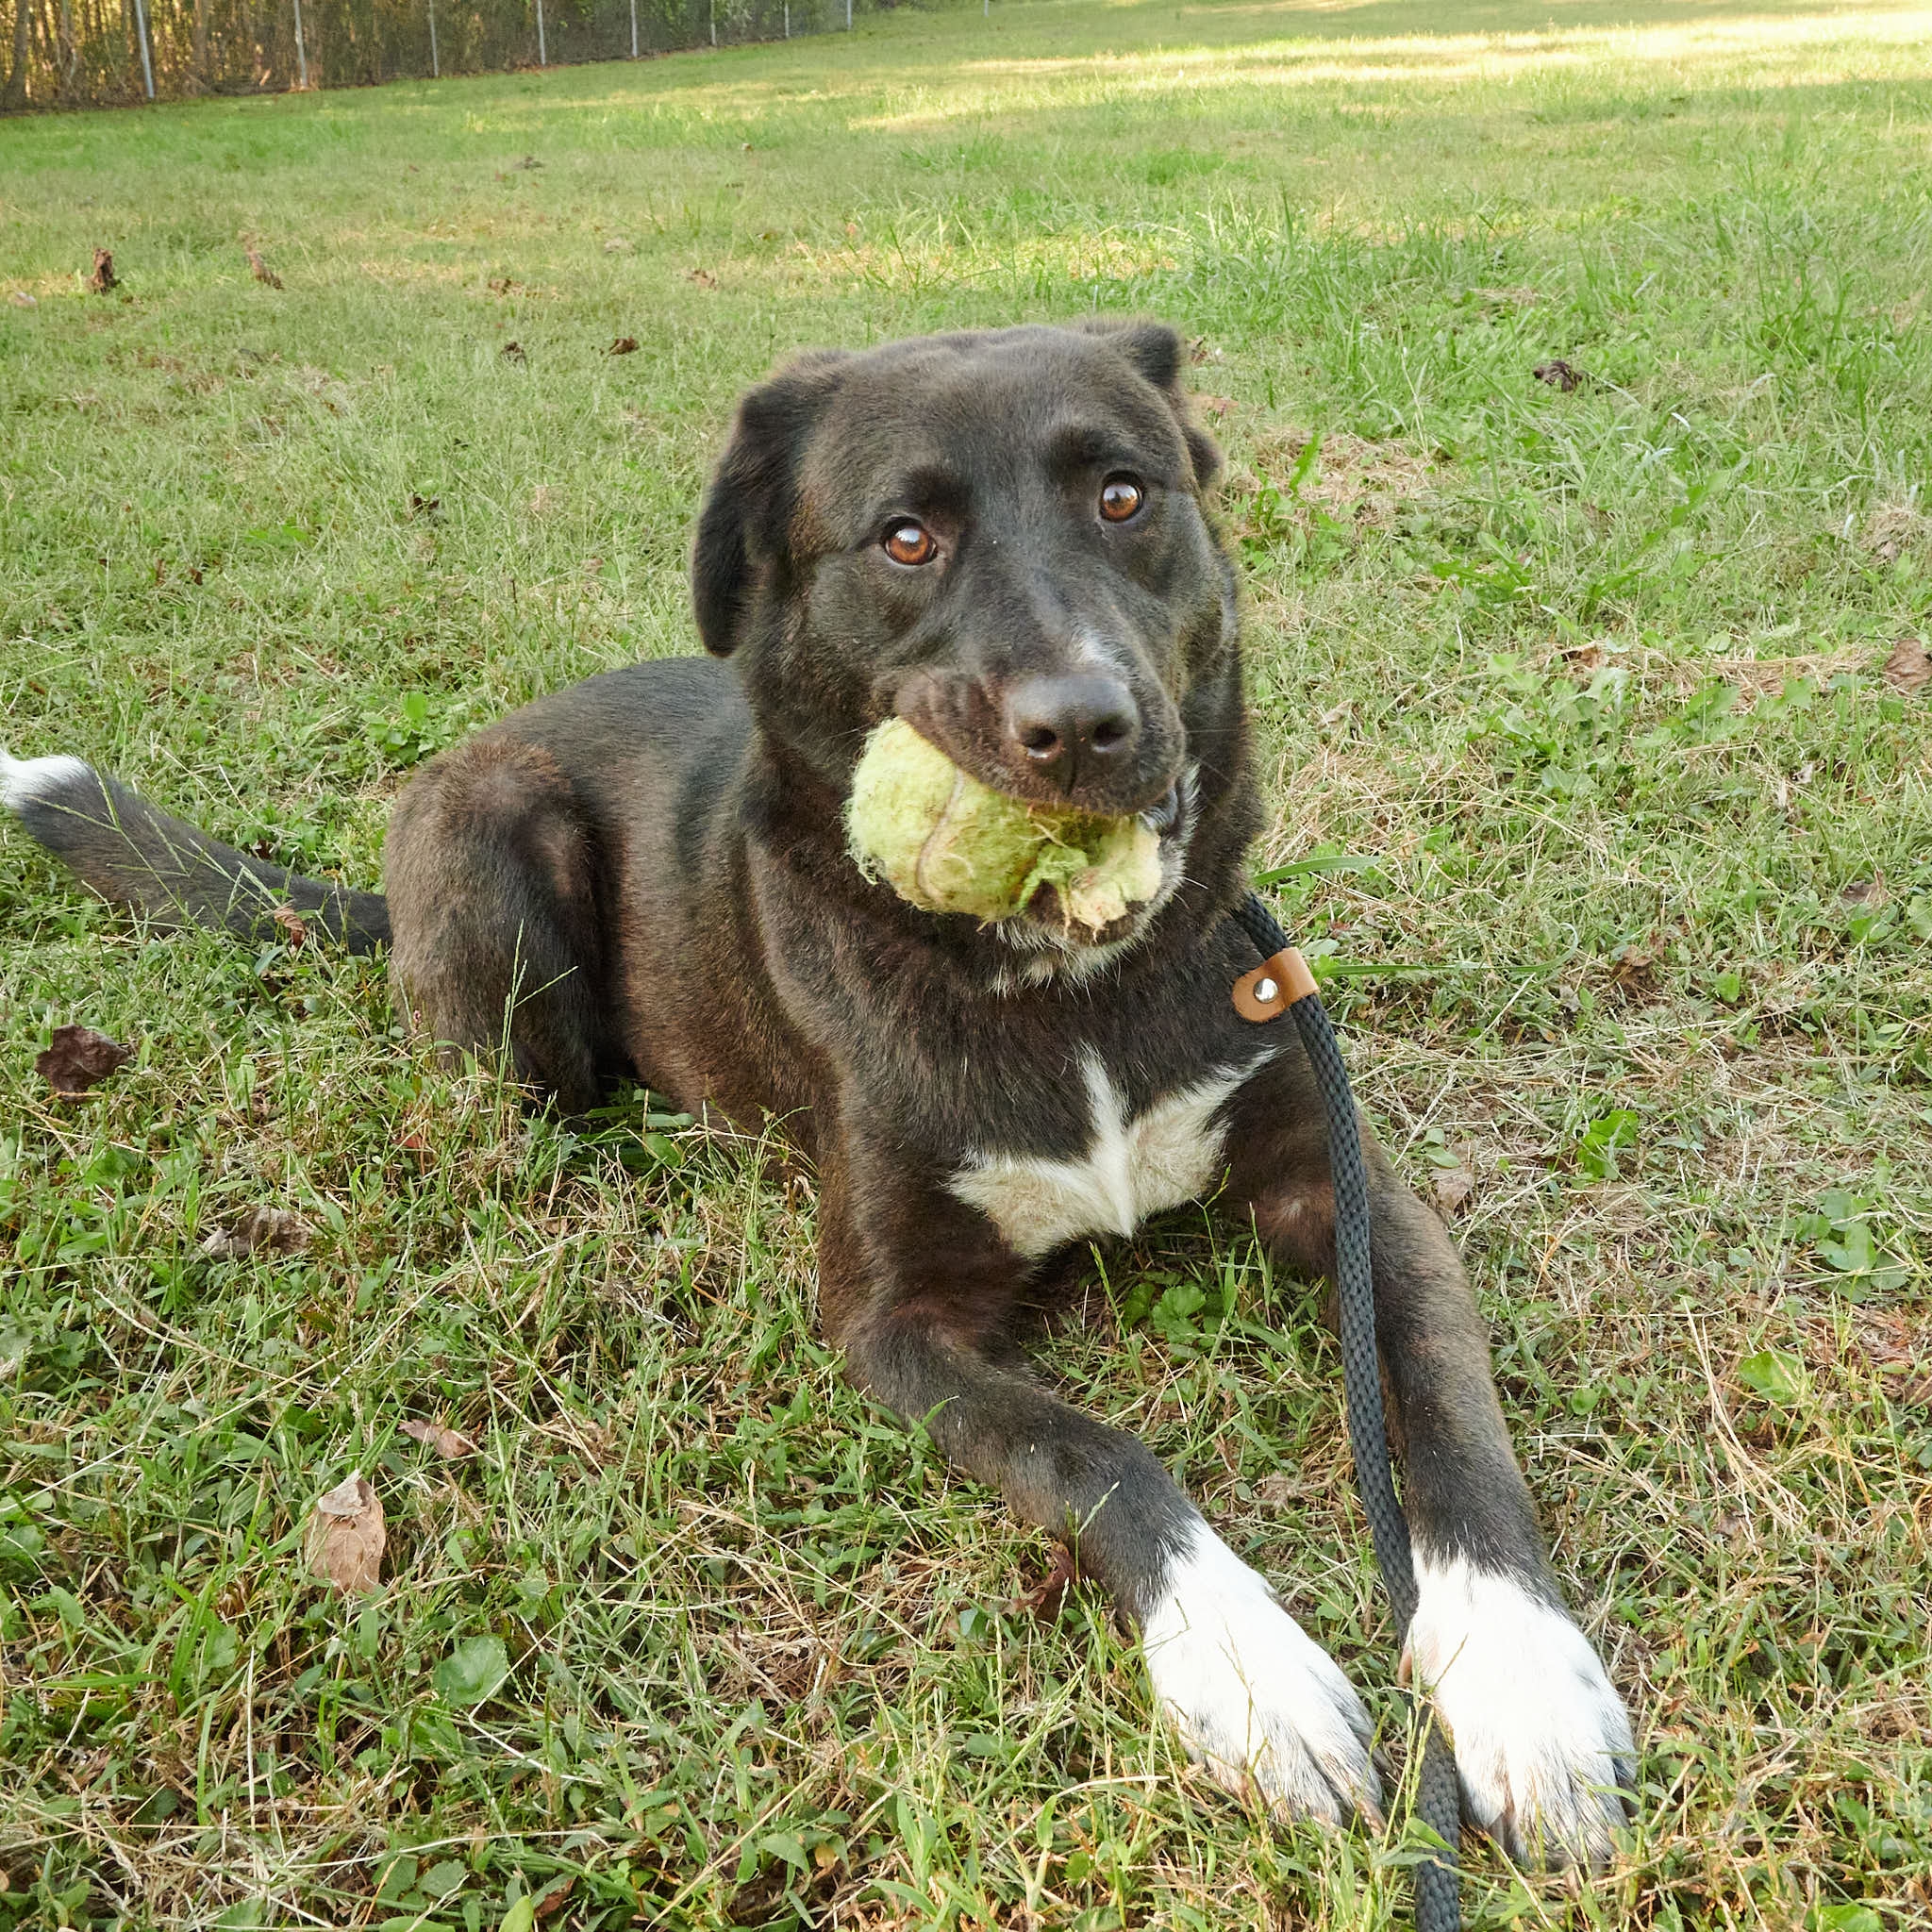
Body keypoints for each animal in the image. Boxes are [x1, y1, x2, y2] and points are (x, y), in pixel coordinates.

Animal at [2, 320, 1634, 1868]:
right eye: (904, 537)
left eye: (1125, 495)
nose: (1082, 725)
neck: (1057, 984)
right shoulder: (890, 1323)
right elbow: (1099, 1458)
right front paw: (1251, 1671)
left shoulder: (1348, 1196)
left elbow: (1454, 1419)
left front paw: (1522, 1685)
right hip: (503, 876)